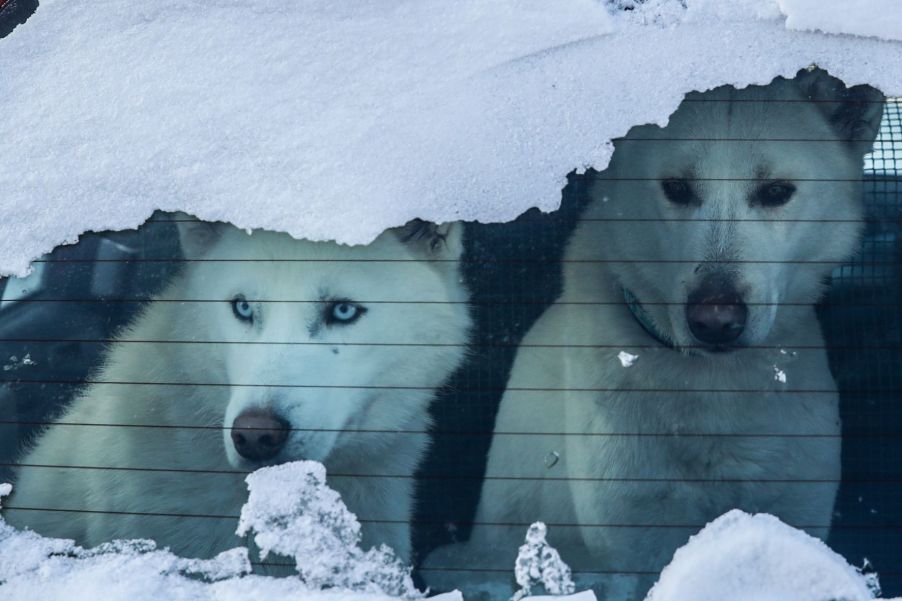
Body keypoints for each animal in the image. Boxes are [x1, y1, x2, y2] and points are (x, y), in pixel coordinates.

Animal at [428, 70, 888, 596]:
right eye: (676, 188)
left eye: (775, 192)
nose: (715, 320)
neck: (714, 391)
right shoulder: (636, 536)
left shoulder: (796, 507)